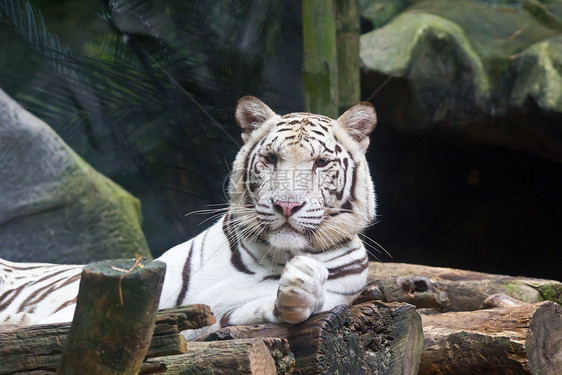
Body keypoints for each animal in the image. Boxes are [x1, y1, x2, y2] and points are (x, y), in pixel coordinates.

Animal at [1, 97, 376, 338]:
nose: (286, 205)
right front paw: (24, 321)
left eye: (321, 163)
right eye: (271, 159)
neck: (275, 255)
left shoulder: (220, 315)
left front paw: (302, 280)